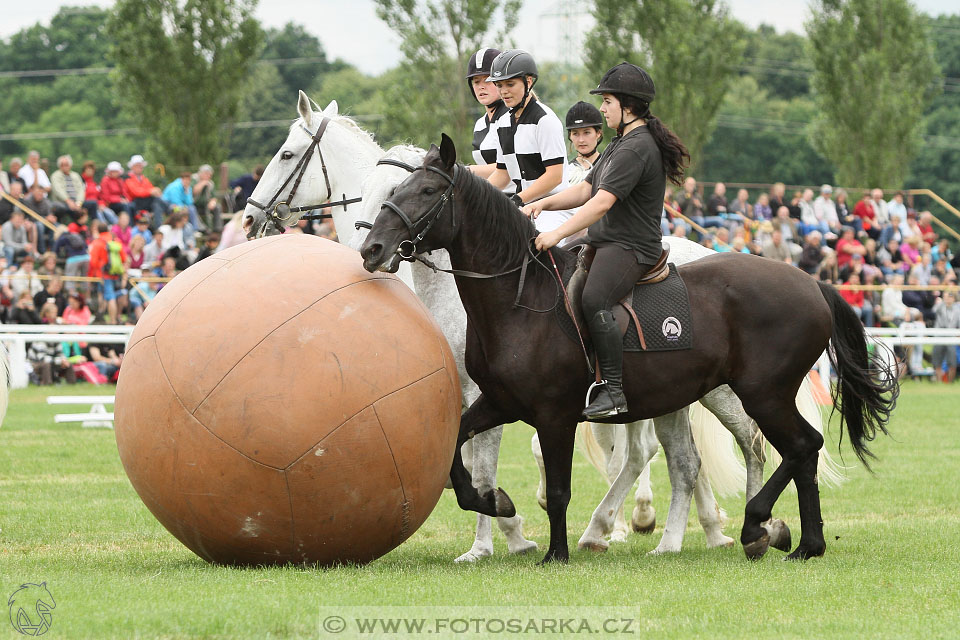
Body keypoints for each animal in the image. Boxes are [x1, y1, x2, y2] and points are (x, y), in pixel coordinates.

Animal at [356, 134, 896, 560]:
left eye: (427, 191)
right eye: (395, 191)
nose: (371, 250)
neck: (519, 300)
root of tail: (812, 283)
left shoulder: (554, 413)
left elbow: (557, 488)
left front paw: (554, 554)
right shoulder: (497, 402)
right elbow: (459, 460)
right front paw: (498, 503)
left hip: (760, 393)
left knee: (793, 446)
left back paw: (759, 526)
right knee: (781, 453)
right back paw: (798, 542)